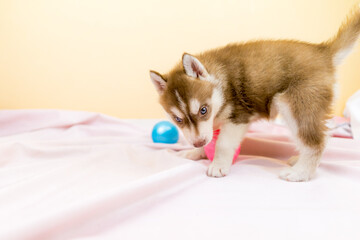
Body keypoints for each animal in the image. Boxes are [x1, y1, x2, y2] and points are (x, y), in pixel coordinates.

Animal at [149, 4, 360, 181]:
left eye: (203, 110)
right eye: (178, 120)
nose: (197, 143)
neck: (220, 81)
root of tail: (323, 51)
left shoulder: (238, 118)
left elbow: (222, 143)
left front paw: (218, 165)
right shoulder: (212, 125)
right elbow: (210, 139)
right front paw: (197, 152)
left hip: (296, 103)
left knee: (316, 141)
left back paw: (300, 172)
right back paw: (298, 160)